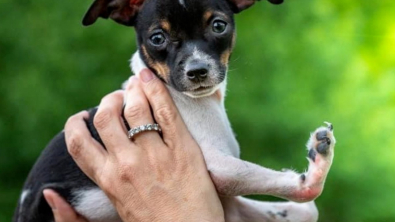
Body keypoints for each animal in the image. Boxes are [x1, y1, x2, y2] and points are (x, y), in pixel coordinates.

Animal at [13, 0, 336, 222]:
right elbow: (305, 191)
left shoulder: (228, 205)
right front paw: (317, 162)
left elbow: (304, 211)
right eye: (157, 37)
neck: (202, 105)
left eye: (218, 25)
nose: (197, 71)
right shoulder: (217, 167)